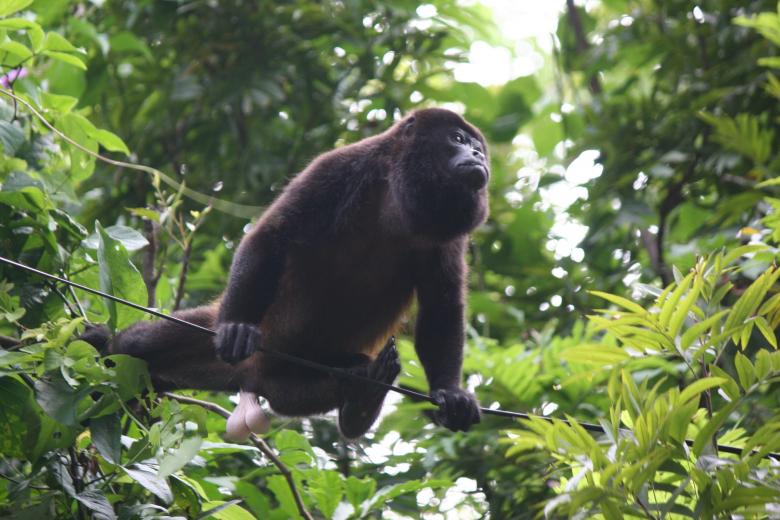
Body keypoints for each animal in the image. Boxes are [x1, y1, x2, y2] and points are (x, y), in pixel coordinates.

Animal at [83, 108, 490, 439]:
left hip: (290, 384)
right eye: (457, 139)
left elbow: (442, 301)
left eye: (478, 147)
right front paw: (237, 327)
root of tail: (249, 375)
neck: (398, 196)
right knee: (140, 345)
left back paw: (363, 399)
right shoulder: (341, 166)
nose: (478, 156)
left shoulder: (449, 236)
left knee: (328, 382)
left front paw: (450, 393)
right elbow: (272, 234)